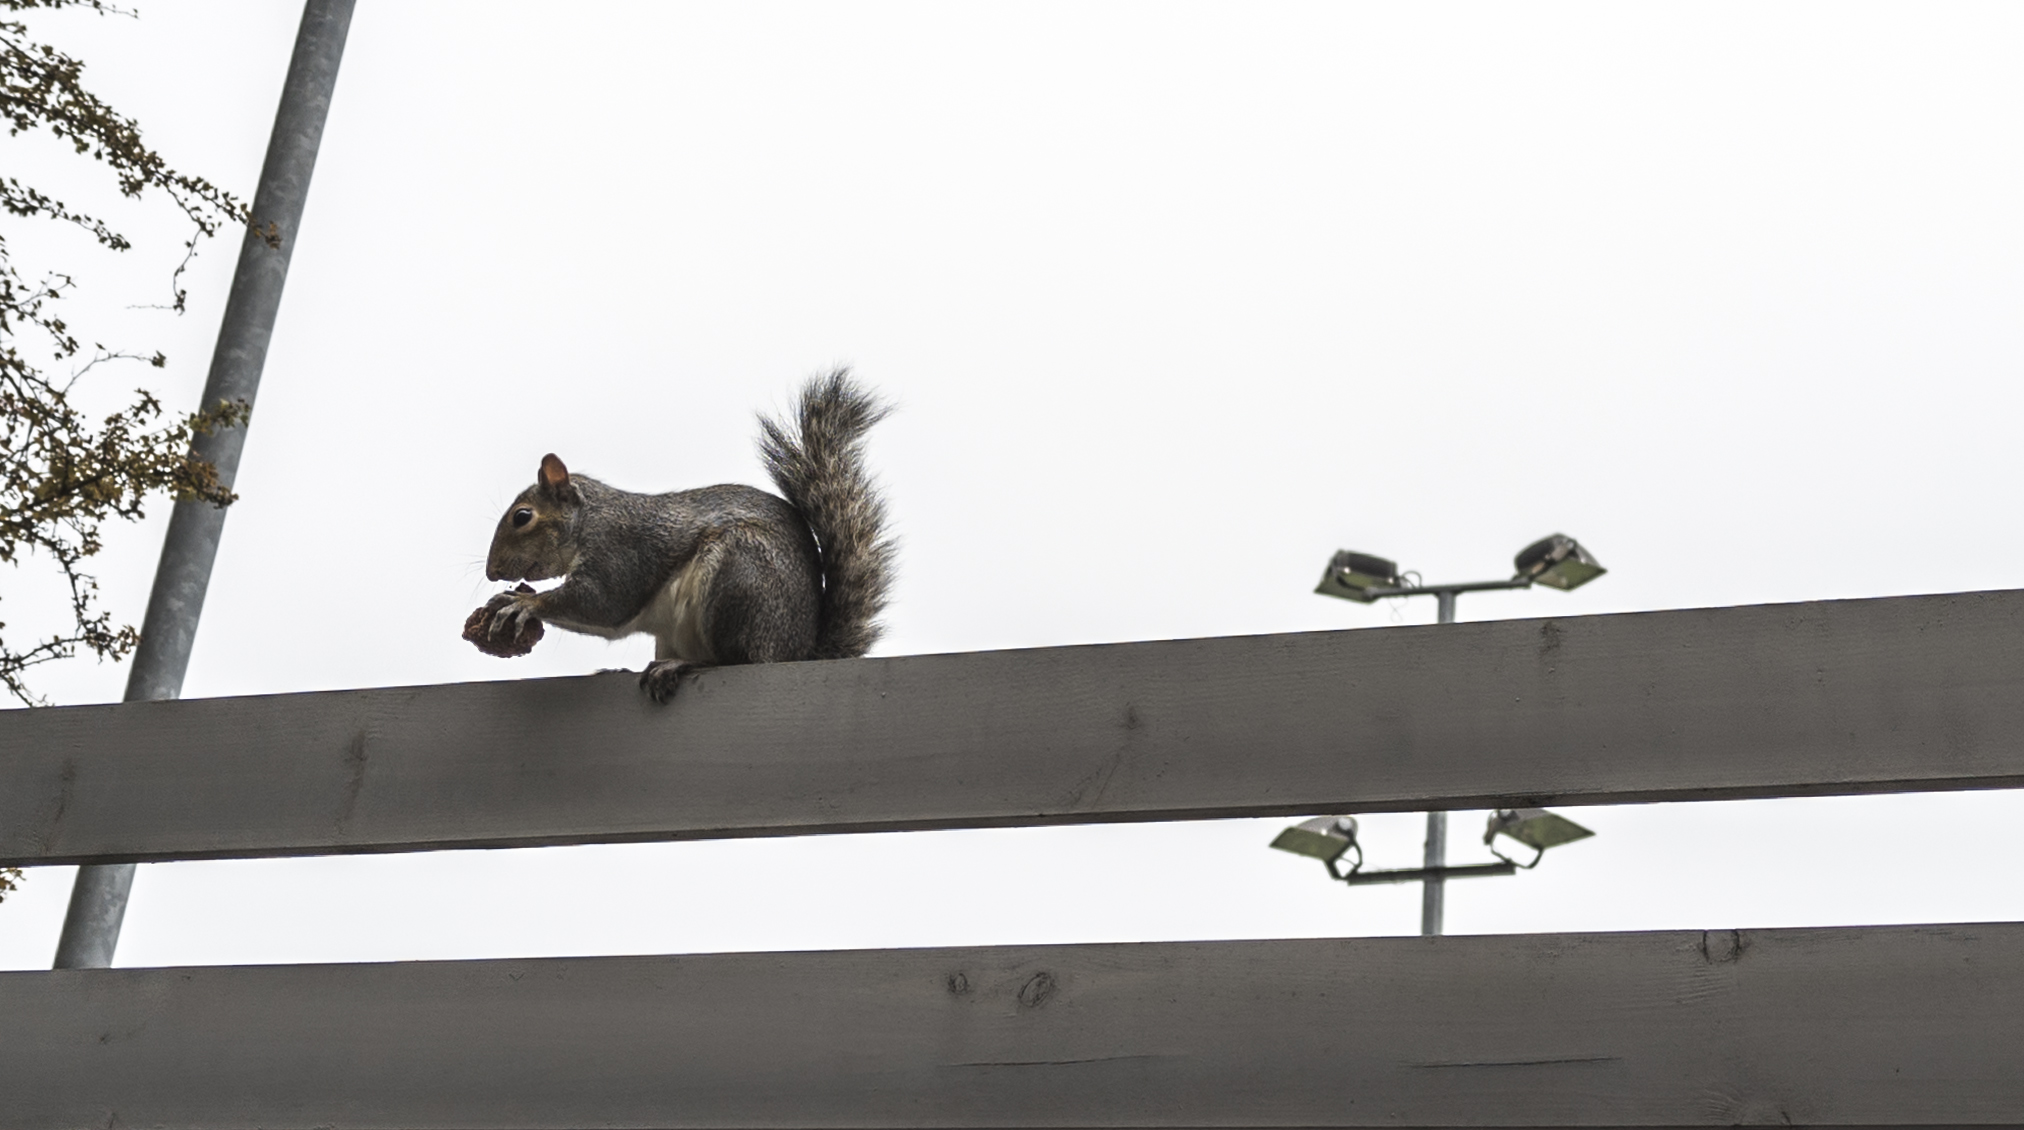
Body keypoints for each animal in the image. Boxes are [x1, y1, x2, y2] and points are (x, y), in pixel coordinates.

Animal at [478, 368, 895, 701]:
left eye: (522, 516)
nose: (491, 572)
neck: (589, 521)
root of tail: (795, 652)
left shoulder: (621, 552)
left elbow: (603, 604)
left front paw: (523, 603)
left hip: (739, 579)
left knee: (734, 661)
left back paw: (682, 666)